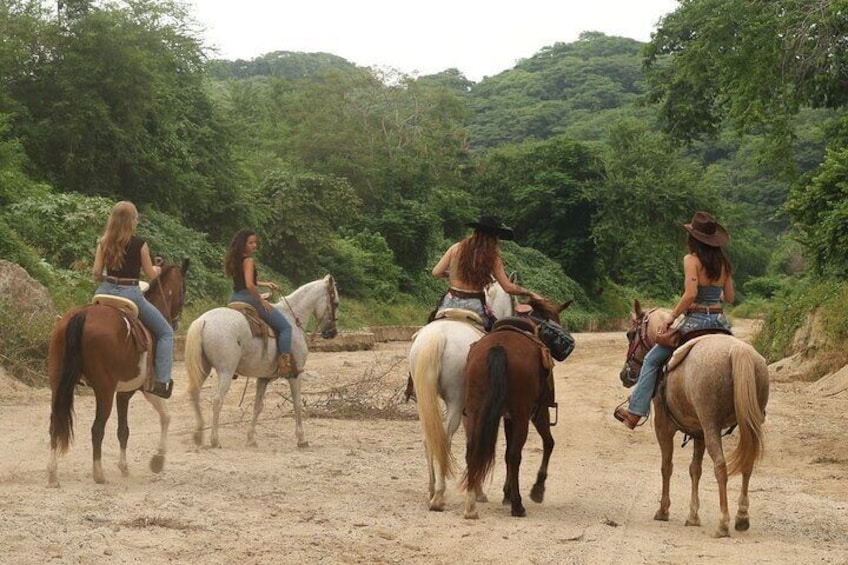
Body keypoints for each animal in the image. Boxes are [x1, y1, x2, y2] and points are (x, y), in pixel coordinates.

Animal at [46, 258, 189, 484]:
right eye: (183, 290)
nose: (176, 322)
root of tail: (83, 314)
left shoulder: (124, 393)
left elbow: (124, 430)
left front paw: (124, 467)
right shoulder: (146, 389)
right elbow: (165, 417)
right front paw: (158, 460)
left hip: (58, 383)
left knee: (55, 423)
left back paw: (53, 473)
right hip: (104, 391)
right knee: (97, 429)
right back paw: (98, 473)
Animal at [185, 276, 338, 448]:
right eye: (336, 303)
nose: (332, 333)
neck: (292, 318)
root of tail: (203, 321)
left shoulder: (263, 378)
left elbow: (258, 407)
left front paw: (251, 438)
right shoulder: (295, 374)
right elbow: (297, 404)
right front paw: (301, 438)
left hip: (203, 369)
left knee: (195, 394)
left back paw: (198, 435)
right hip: (226, 371)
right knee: (217, 400)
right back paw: (214, 439)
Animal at [408, 280, 512, 512]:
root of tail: (439, 336)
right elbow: (474, 443)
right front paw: (479, 492)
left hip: (425, 400)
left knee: (430, 438)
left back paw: (432, 490)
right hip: (455, 402)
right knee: (443, 439)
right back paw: (438, 495)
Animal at [460, 298, 572, 516]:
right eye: (555, 320)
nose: (568, 344)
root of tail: (499, 347)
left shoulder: (507, 417)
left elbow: (505, 454)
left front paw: (506, 493)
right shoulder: (539, 411)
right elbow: (548, 443)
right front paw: (537, 489)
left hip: (476, 410)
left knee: (472, 450)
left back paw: (471, 502)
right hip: (523, 414)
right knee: (515, 455)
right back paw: (518, 505)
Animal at [620, 300, 772, 536]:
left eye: (629, 334)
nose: (625, 375)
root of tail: (737, 351)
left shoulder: (664, 426)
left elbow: (667, 466)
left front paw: (663, 510)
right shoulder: (698, 431)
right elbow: (695, 470)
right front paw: (693, 516)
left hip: (711, 426)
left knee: (720, 465)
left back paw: (723, 522)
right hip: (747, 424)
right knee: (748, 463)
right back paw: (741, 517)